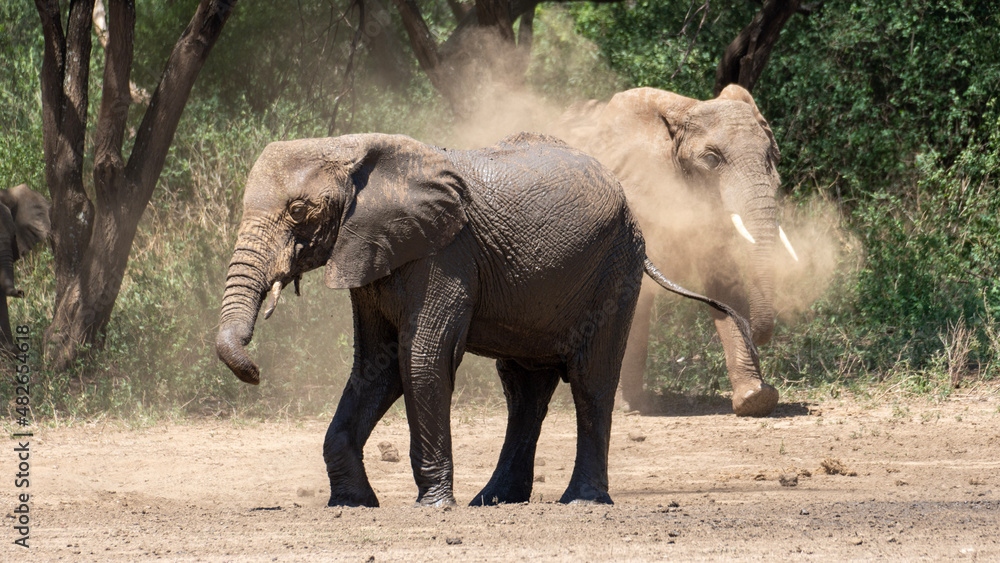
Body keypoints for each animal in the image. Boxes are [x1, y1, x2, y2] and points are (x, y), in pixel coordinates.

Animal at [216, 132, 758, 507]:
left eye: (299, 210)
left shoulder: (445, 252)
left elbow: (421, 357)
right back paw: (494, 499)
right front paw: (352, 503)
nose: (256, 370)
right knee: (524, 389)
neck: (353, 149)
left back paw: (580, 500)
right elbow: (375, 367)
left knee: (591, 380)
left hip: (616, 266)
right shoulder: (370, 253)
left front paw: (433, 506)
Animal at [557, 84, 797, 417]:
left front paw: (755, 399)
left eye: (770, 156)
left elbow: (723, 281)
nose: (759, 336)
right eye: (711, 159)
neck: (682, 110)